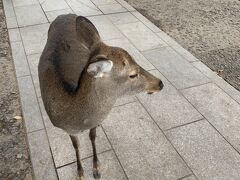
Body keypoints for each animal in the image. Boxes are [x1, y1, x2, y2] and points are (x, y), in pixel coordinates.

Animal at [38, 13, 164, 179]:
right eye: (132, 74)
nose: (160, 83)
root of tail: (63, 15)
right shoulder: (67, 129)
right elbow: (76, 145)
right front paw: (80, 173)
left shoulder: (94, 122)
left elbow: (92, 136)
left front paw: (96, 168)